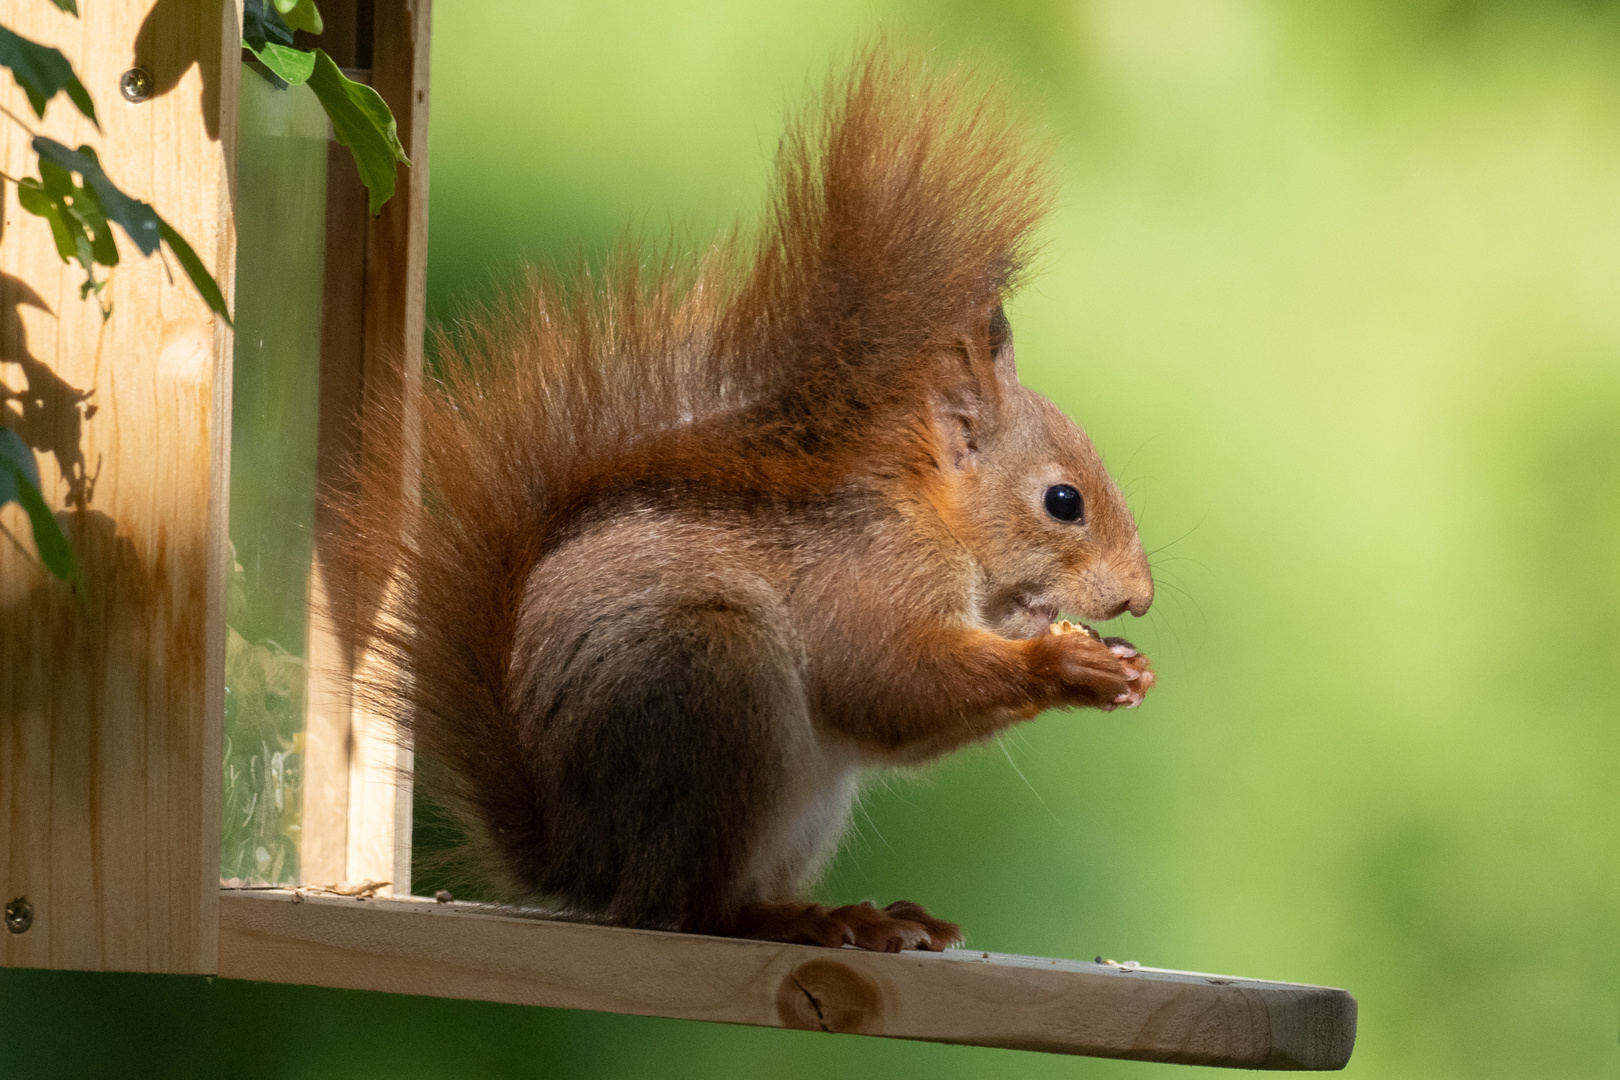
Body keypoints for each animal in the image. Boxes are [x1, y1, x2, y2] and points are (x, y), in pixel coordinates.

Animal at [335, 48, 1159, 952]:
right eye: (1063, 501)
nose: (1140, 598)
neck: (933, 522)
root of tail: (584, 863)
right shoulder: (867, 577)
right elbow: (886, 681)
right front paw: (1067, 665)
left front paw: (1121, 664)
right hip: (713, 686)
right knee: (702, 909)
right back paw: (808, 920)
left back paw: (871, 915)